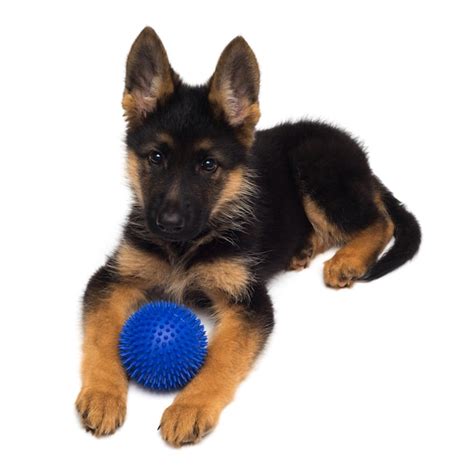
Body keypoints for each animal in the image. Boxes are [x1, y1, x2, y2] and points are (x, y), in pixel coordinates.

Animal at [76, 25, 420, 446]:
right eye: (156, 158)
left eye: (208, 165)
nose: (169, 223)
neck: (186, 247)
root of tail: (363, 162)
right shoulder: (112, 279)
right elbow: (103, 336)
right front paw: (103, 394)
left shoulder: (249, 302)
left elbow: (222, 356)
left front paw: (189, 407)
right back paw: (303, 249)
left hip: (314, 164)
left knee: (380, 221)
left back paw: (348, 260)